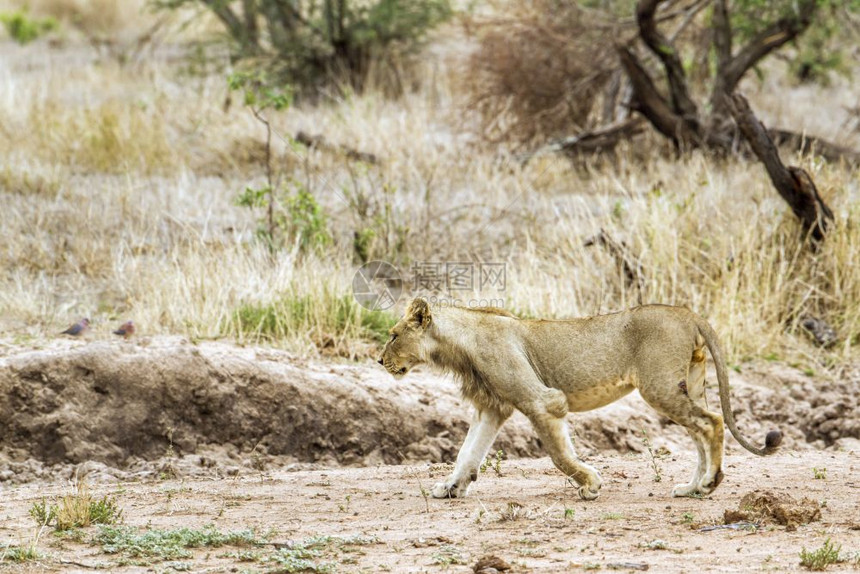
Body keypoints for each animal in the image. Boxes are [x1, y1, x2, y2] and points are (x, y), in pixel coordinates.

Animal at [380, 300, 784, 502]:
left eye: (393, 335)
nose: (379, 360)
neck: (459, 345)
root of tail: (688, 313)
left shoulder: (542, 400)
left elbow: (560, 455)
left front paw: (589, 484)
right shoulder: (493, 408)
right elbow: (468, 452)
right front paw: (450, 488)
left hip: (660, 387)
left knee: (712, 422)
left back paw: (710, 484)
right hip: (685, 386)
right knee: (701, 430)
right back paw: (693, 488)